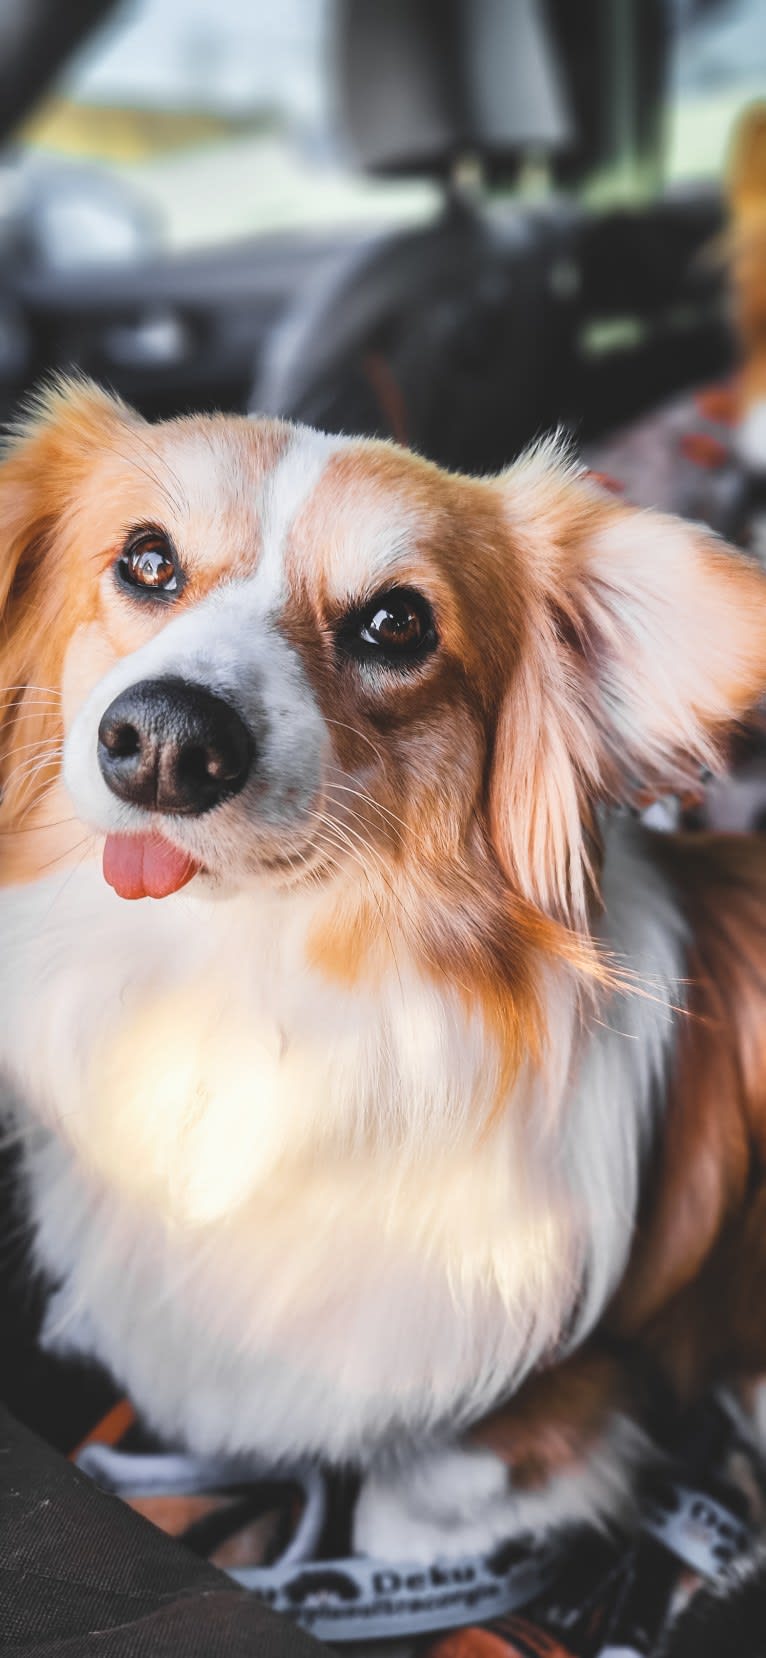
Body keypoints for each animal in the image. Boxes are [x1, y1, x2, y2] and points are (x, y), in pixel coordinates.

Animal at [1, 369, 766, 1558]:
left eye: (395, 622)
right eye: (147, 560)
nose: (168, 737)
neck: (238, 987)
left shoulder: (531, 1411)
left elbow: (400, 1518)